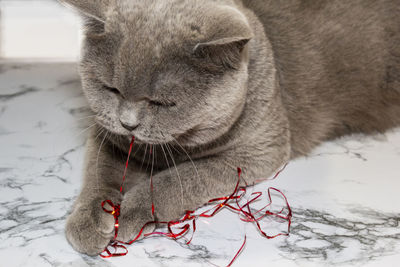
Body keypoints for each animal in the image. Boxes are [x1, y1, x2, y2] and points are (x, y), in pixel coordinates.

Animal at [59, 0, 400, 256]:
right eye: (111, 89)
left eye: (163, 103)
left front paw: (133, 210)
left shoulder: (260, 150)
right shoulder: (107, 134)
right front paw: (89, 220)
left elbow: (183, 177)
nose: (128, 122)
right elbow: (99, 172)